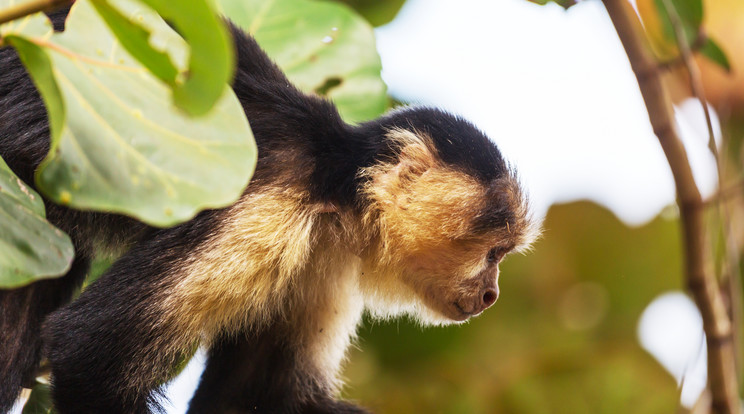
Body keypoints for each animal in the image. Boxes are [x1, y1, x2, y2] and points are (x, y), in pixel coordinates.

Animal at [0, 4, 536, 414]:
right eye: (493, 253)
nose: (492, 294)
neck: (334, 190)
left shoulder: (321, 257)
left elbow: (259, 397)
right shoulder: (262, 214)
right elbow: (87, 351)